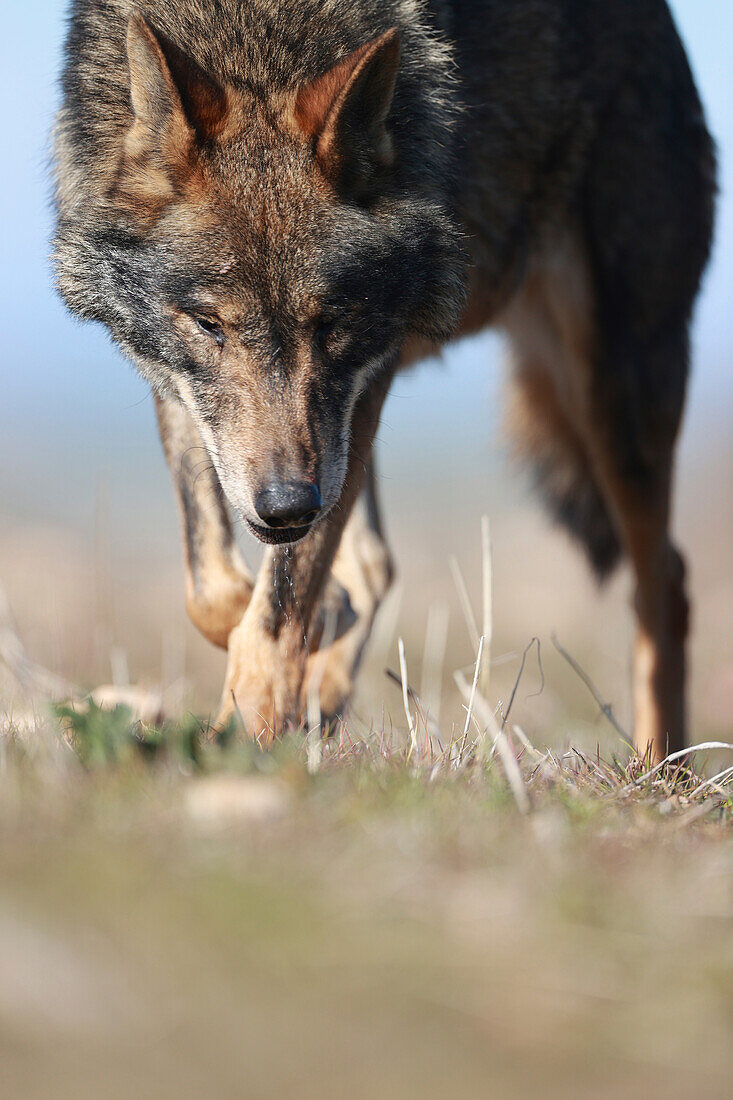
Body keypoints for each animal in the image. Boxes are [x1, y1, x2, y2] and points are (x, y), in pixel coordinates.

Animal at [52, 0, 713, 761]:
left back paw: (659, 769)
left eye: (332, 320)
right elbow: (216, 590)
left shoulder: (369, 374)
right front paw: (299, 673)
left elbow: (279, 604)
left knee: (666, 585)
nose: (285, 506)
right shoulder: (180, 383)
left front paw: (246, 738)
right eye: (210, 324)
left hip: (616, 391)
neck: (257, 41)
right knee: (373, 562)